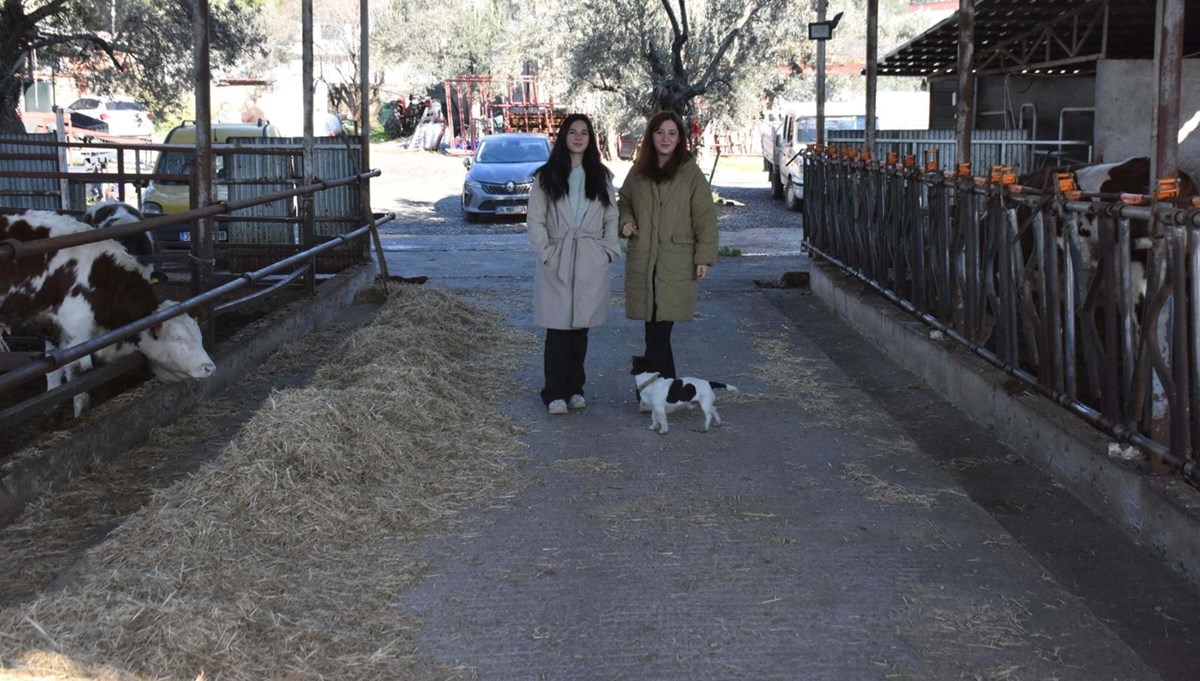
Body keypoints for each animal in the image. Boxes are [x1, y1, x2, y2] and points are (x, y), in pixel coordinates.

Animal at [0, 208, 213, 410]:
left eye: (199, 335)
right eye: (177, 338)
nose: (209, 368)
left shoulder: (49, 323)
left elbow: (52, 369)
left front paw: (52, 407)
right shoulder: (74, 329)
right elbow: (79, 378)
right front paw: (79, 415)